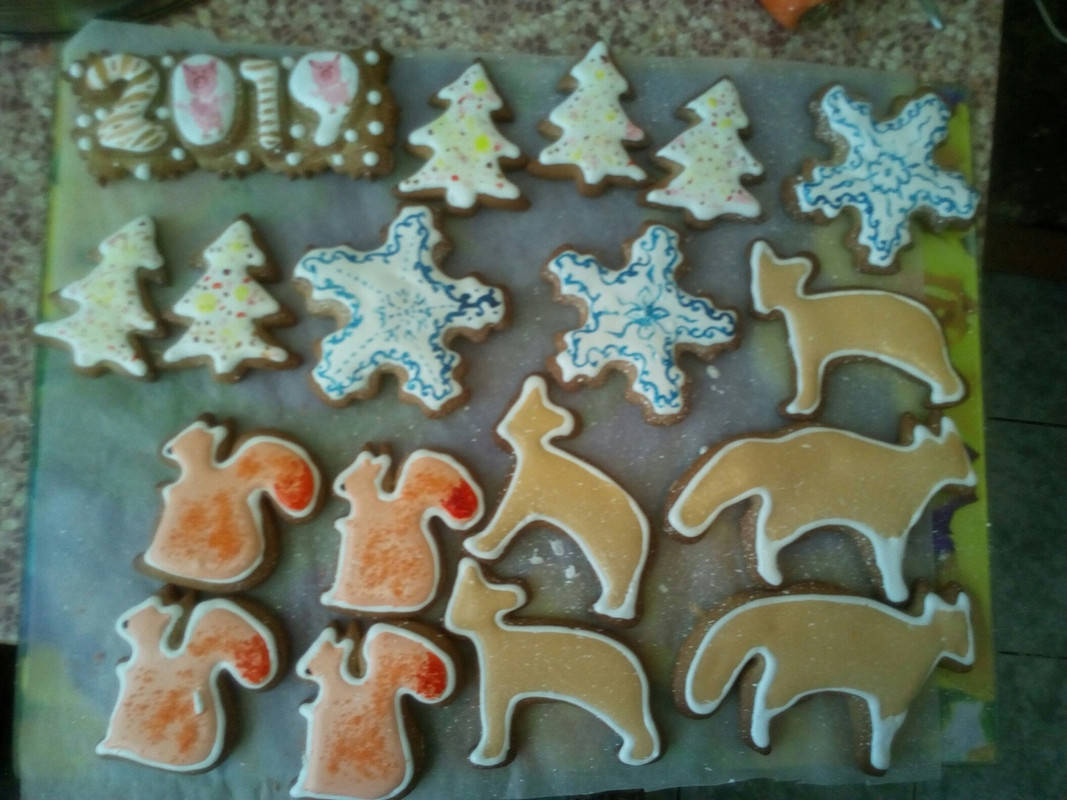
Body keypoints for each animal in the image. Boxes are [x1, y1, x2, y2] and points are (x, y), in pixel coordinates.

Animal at [444, 558, 660, 768]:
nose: (469, 566)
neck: (492, 634)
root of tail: (634, 665)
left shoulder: (498, 695)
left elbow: (494, 727)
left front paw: (486, 756)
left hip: (613, 699)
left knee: (639, 729)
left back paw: (636, 755)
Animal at [462, 375, 650, 622]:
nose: (563, 420)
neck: (535, 450)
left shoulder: (521, 495)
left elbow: (502, 522)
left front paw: (479, 545)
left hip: (611, 547)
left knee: (618, 580)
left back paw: (609, 610)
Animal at [749, 240, 966, 418]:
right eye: (759, 281)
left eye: (771, 284)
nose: (762, 306)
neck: (798, 303)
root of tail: (930, 317)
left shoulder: (809, 355)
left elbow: (807, 385)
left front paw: (798, 408)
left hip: (915, 352)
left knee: (943, 375)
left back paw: (942, 399)